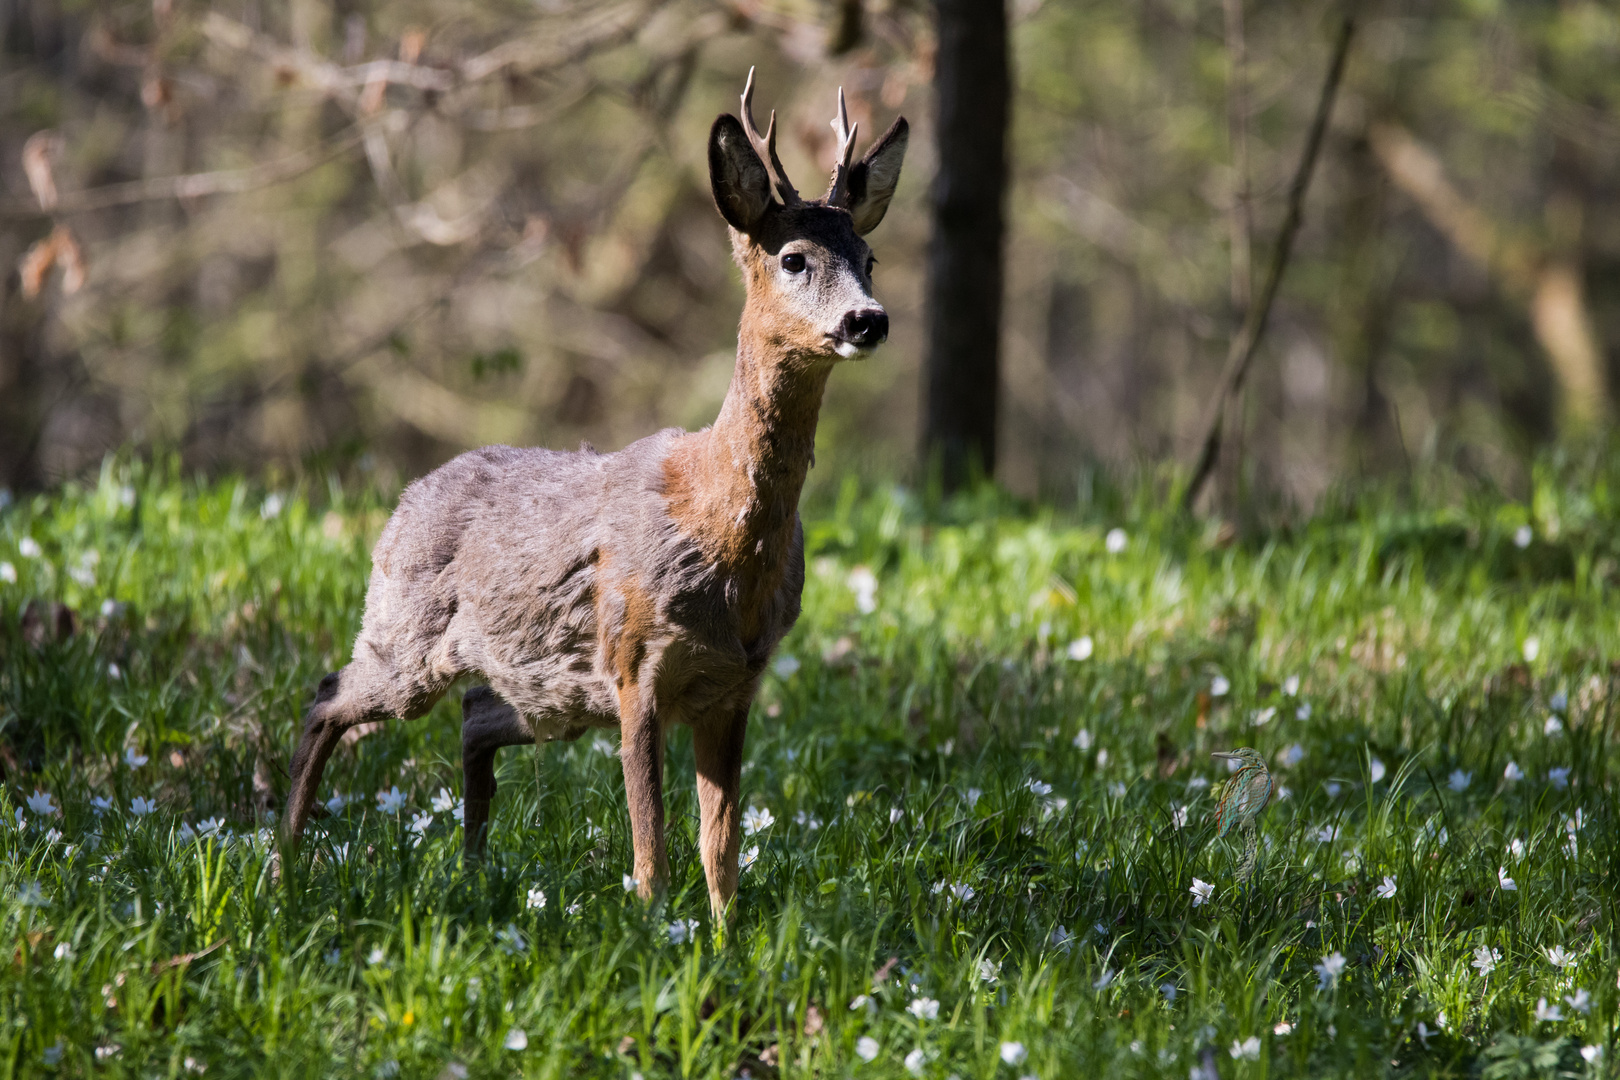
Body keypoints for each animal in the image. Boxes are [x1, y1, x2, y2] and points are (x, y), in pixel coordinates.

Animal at [283, 69, 907, 919]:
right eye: (794, 258)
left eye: (871, 256)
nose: (867, 319)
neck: (718, 530)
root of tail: (403, 502)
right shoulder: (634, 662)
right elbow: (652, 854)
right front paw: (653, 935)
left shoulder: (735, 684)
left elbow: (721, 851)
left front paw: (725, 937)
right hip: (405, 635)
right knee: (325, 699)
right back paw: (280, 865)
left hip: (546, 689)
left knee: (475, 716)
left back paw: (471, 874)